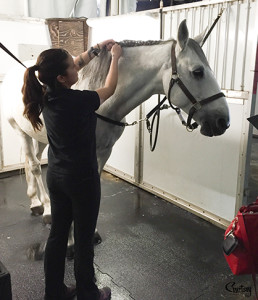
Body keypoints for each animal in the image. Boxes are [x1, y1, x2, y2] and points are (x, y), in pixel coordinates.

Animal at [1, 19, 228, 226]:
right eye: (198, 72)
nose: (223, 121)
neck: (102, 104)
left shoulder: (104, 151)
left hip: (39, 136)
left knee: (32, 162)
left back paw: (35, 202)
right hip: (20, 131)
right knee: (34, 166)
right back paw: (46, 208)